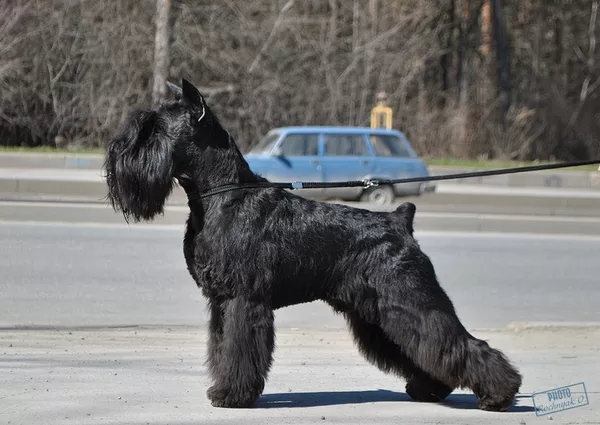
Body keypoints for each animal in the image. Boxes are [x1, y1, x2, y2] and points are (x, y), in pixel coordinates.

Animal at [105, 78, 524, 410]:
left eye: (155, 129)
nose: (114, 155)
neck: (222, 197)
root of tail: (400, 220)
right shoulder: (220, 302)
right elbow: (221, 348)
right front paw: (223, 388)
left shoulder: (243, 299)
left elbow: (238, 351)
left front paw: (231, 396)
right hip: (377, 314)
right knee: (427, 349)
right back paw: (430, 390)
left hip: (410, 302)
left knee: (460, 343)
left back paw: (500, 394)